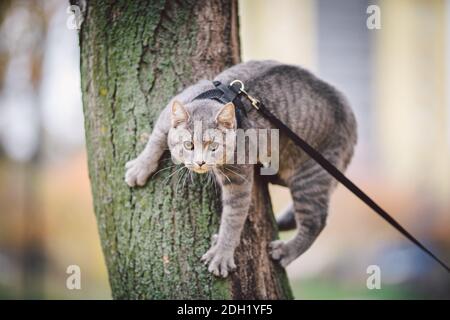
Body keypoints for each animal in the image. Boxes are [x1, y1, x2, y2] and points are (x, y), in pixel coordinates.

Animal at [125, 60, 356, 278]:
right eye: (189, 145)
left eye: (214, 146)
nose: (200, 162)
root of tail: (349, 113)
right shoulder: (168, 113)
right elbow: (156, 137)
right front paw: (140, 166)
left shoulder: (239, 182)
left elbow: (232, 220)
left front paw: (222, 254)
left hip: (310, 177)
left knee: (316, 221)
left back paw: (286, 251)